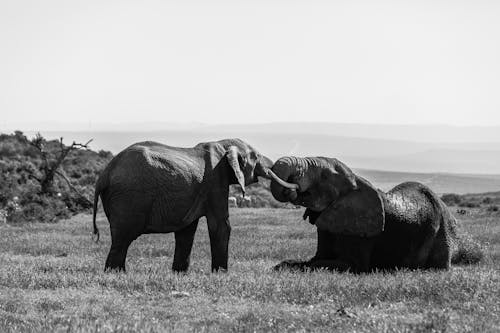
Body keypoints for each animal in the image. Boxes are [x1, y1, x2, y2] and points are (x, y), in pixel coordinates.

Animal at [92, 139, 292, 272]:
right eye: (256, 157)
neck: (223, 145)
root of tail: (104, 174)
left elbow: (186, 231)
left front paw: (179, 273)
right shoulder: (216, 181)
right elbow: (221, 226)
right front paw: (221, 274)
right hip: (130, 197)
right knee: (123, 238)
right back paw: (116, 274)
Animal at [268, 156, 482, 272]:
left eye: (325, 176)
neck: (356, 181)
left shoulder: (359, 230)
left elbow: (350, 265)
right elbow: (315, 259)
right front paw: (284, 265)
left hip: (440, 236)